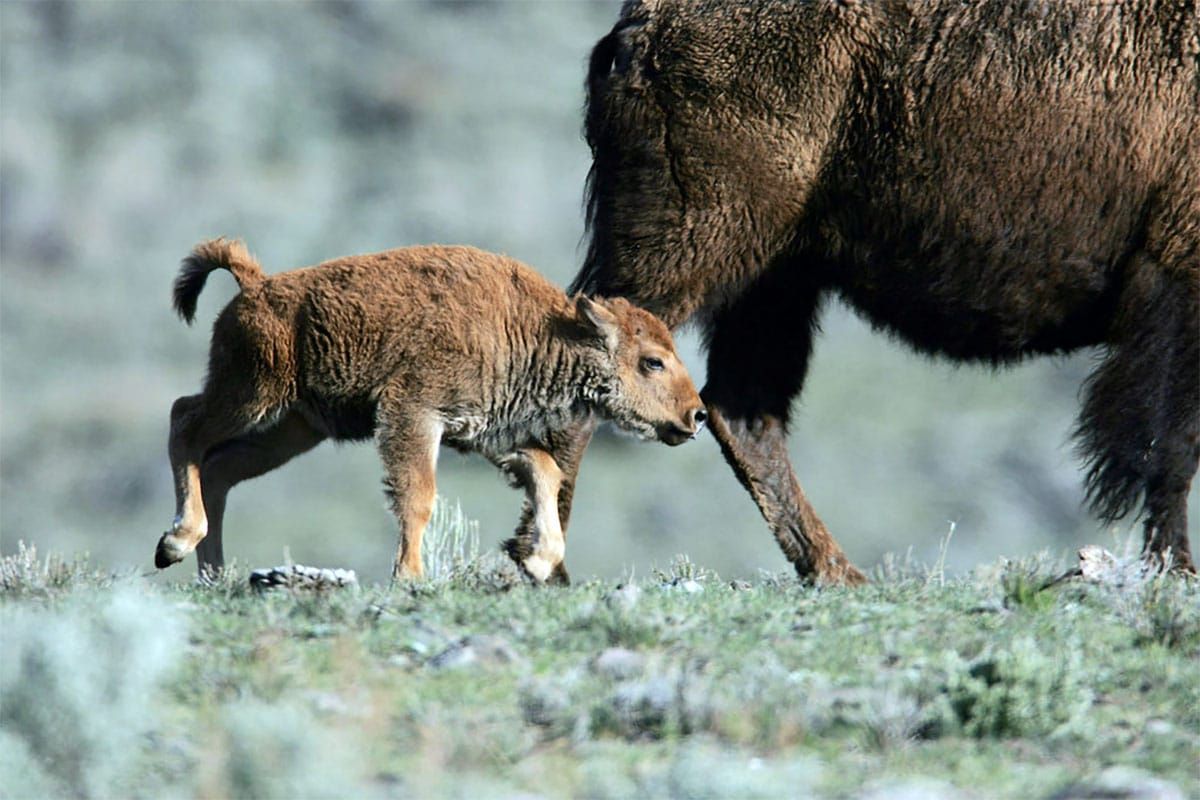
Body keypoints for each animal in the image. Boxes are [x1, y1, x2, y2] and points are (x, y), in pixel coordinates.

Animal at [155, 239, 705, 582]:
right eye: (652, 362)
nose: (696, 415)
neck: (539, 329)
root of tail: (256, 285)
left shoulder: (486, 434)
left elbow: (546, 471)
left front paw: (538, 560)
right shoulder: (414, 415)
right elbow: (418, 496)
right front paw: (410, 576)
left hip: (291, 429)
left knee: (220, 470)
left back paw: (211, 574)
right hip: (253, 396)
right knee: (185, 421)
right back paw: (176, 543)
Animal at [568, 0, 1199, 583]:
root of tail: (645, 24)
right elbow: (1168, 448)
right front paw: (1176, 571)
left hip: (775, 277)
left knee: (741, 409)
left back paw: (839, 571)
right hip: (693, 249)